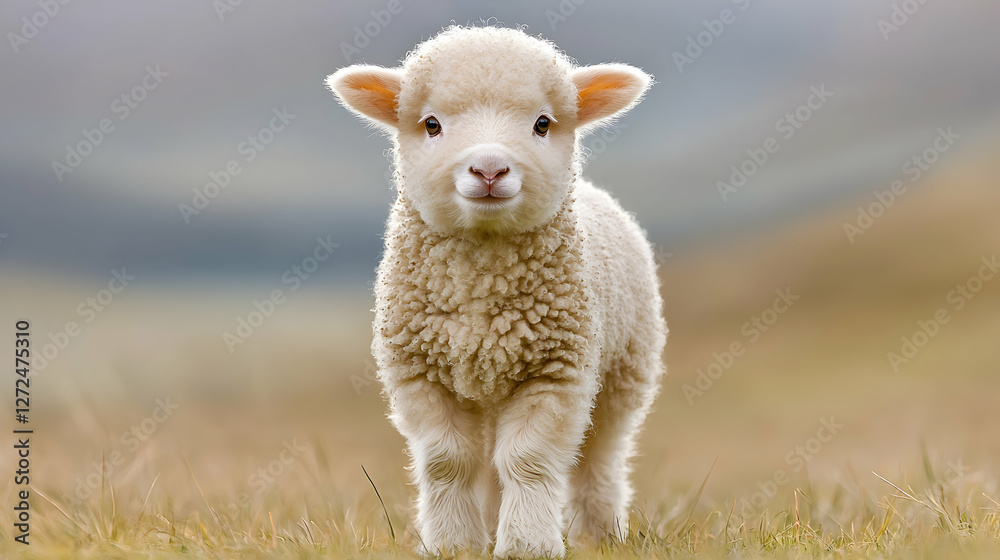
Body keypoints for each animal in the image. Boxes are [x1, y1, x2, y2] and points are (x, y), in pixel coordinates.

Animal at [326, 25, 666, 558]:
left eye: (543, 124)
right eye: (431, 124)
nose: (489, 170)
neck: (481, 297)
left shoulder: (555, 372)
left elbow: (528, 460)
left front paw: (528, 544)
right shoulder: (422, 373)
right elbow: (447, 462)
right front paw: (452, 544)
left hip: (623, 373)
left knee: (601, 457)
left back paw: (599, 535)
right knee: (486, 462)